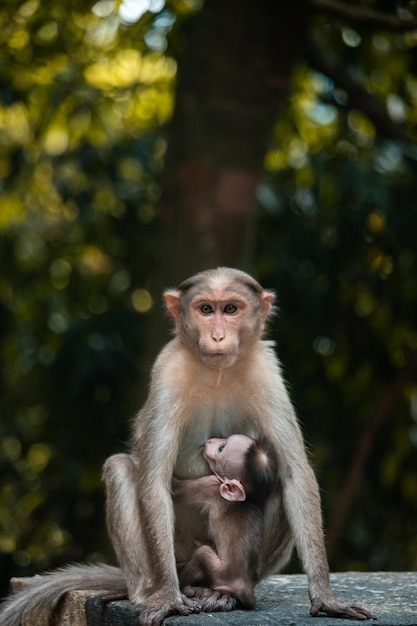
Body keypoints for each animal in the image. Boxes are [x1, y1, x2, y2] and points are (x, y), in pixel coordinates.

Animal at [171, 434, 278, 604]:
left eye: (221, 449)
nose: (210, 440)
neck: (248, 499)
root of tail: (243, 587)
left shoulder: (210, 485)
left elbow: (176, 489)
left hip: (219, 572)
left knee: (202, 554)